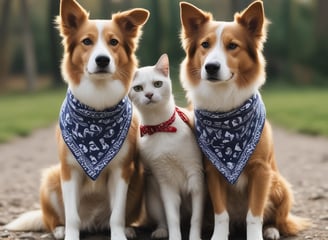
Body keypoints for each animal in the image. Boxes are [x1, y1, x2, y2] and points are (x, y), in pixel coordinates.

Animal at [5, 0, 149, 240]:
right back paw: (59, 229)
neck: (97, 104)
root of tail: (93, 224)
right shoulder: (69, 170)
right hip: (51, 178)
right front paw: (70, 234)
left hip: (138, 177)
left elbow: (117, 215)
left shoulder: (122, 169)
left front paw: (119, 234)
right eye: (86, 41)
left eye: (114, 42)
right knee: (54, 220)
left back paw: (128, 229)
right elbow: (72, 216)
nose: (102, 60)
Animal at [129, 54, 204, 240]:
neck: (160, 127)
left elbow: (196, 218)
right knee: (162, 219)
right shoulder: (165, 182)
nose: (149, 94)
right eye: (138, 88)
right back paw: (161, 231)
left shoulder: (196, 178)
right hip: (152, 196)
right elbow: (172, 217)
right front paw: (175, 236)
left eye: (157, 84)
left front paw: (194, 237)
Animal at [179, 1, 310, 240]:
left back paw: (271, 230)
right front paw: (219, 236)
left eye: (232, 46)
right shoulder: (212, 171)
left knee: (278, 220)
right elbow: (222, 214)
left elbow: (254, 214)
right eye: (205, 44)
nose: (211, 67)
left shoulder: (261, 171)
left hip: (280, 186)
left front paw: (257, 234)